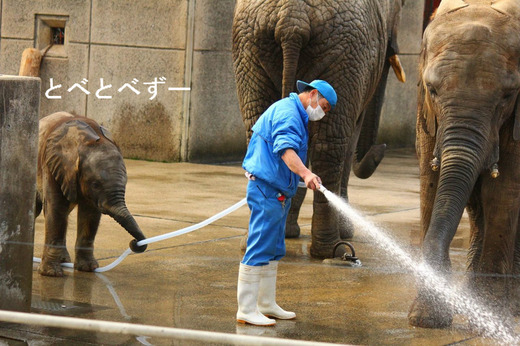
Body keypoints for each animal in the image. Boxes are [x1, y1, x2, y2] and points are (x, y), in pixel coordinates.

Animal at [36, 112, 147, 278]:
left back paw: (64, 260)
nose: (134, 243)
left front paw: (88, 268)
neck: (85, 141)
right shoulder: (52, 164)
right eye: (95, 184)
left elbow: (90, 214)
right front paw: (51, 274)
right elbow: (56, 209)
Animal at [232, 0, 406, 258]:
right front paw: (346, 232)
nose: (381, 147)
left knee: (256, 128)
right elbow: (351, 135)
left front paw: (289, 230)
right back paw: (332, 249)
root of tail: (292, 21)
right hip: (346, 53)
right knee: (331, 145)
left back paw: (256, 240)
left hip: (250, 47)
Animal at [408, 0, 520, 330]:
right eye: (432, 89)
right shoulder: (425, 113)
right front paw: (427, 318)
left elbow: (504, 192)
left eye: (507, 96)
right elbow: (431, 185)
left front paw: (491, 321)